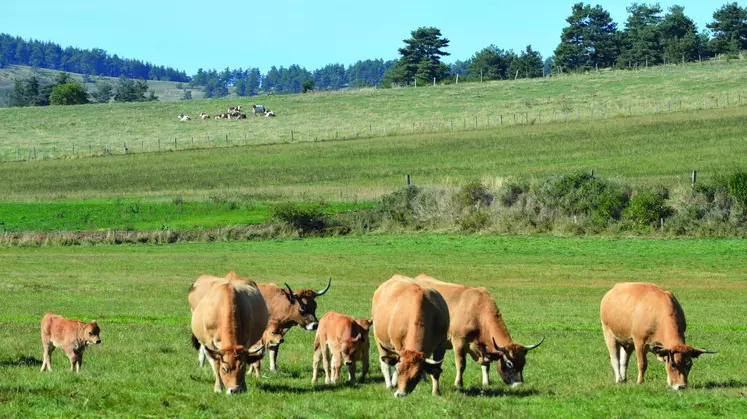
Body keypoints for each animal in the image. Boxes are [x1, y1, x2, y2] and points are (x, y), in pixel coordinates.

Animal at [412, 274, 548, 388]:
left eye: (523, 363)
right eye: (509, 363)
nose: (519, 384)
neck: (478, 312)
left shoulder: (484, 348)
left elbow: (486, 365)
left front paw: (486, 383)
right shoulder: (458, 341)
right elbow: (461, 364)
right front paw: (458, 384)